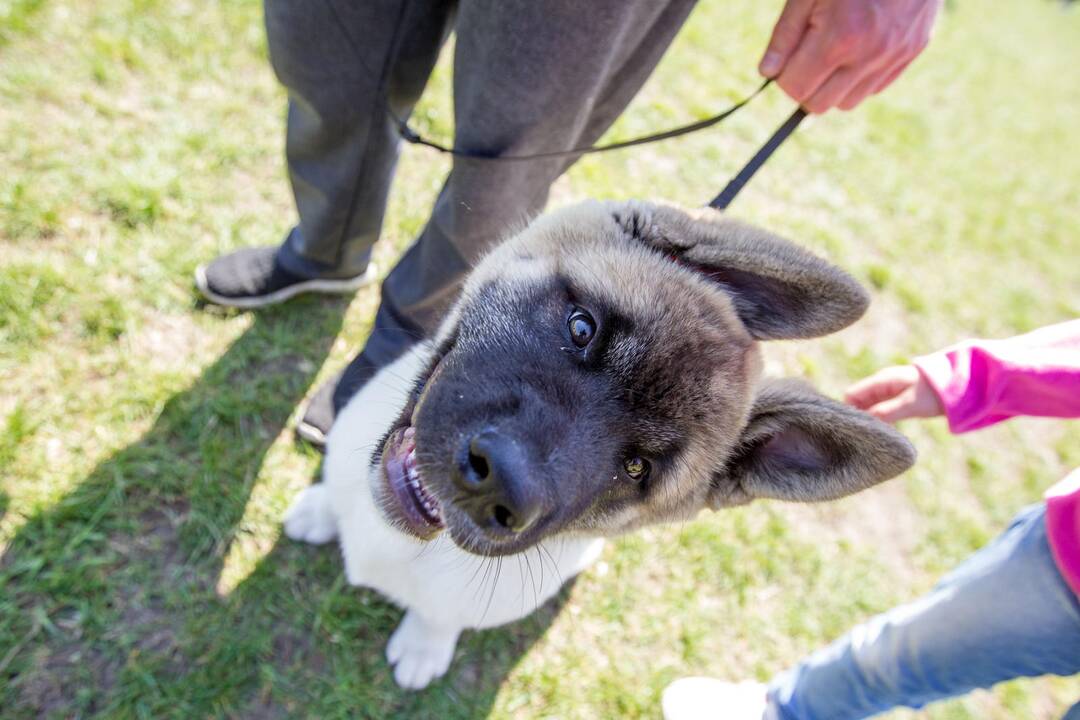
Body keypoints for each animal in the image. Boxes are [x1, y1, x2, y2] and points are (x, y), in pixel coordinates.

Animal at [282, 199, 915, 690]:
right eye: (581, 327)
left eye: (636, 468)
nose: (499, 486)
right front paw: (321, 511)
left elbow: (440, 618)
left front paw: (423, 646)